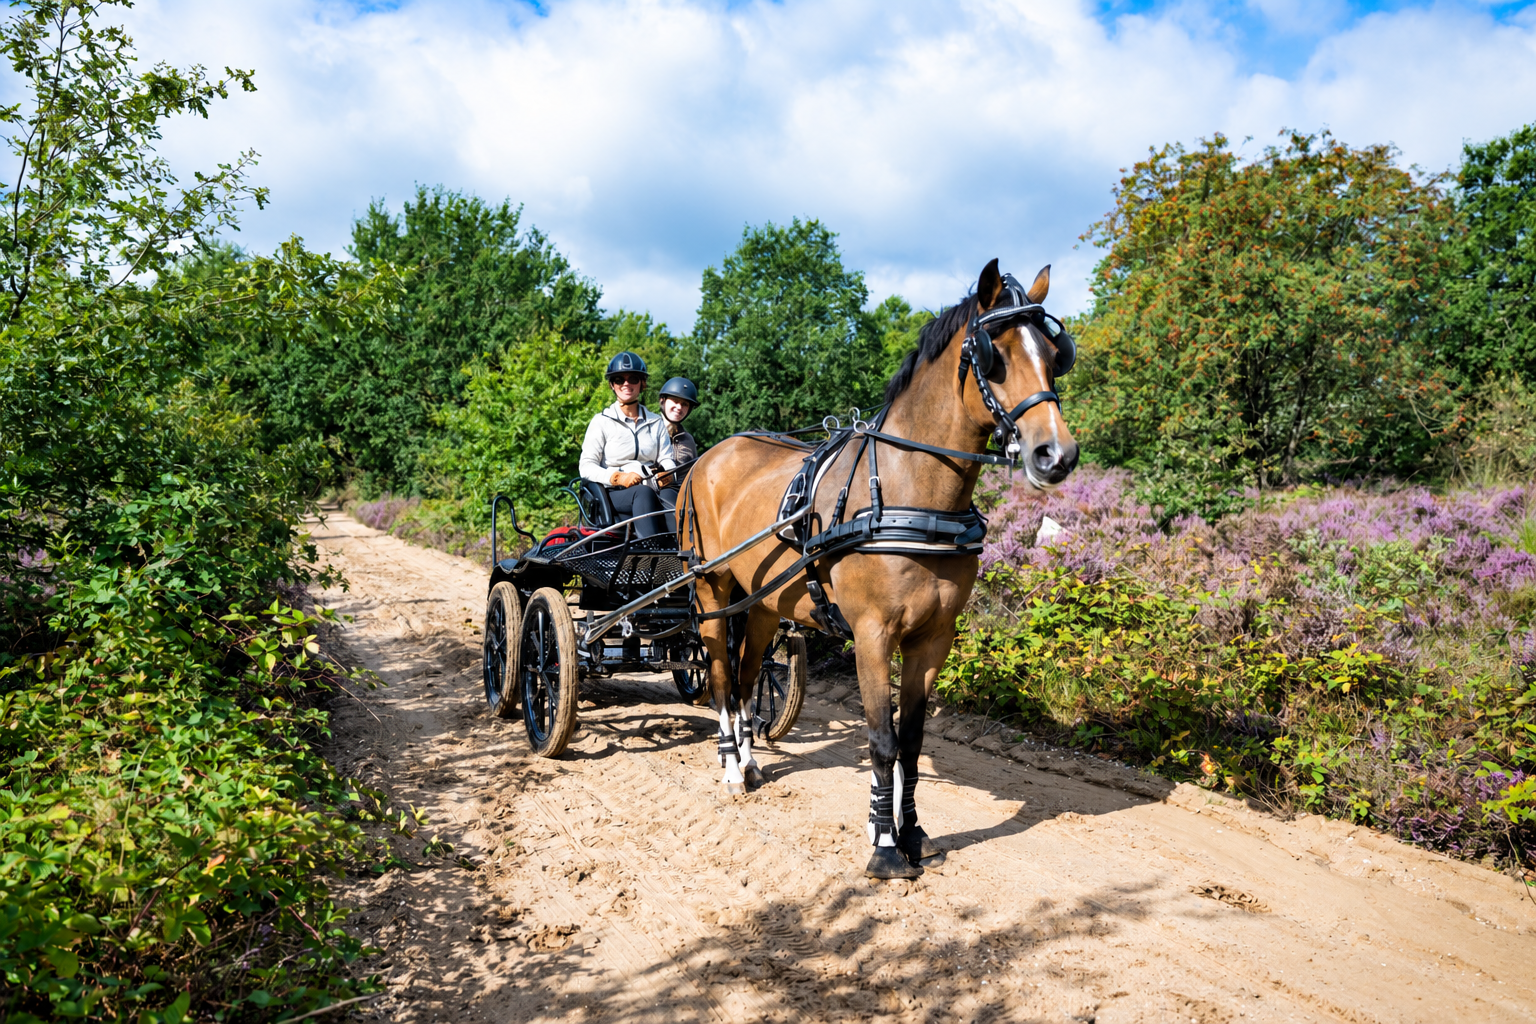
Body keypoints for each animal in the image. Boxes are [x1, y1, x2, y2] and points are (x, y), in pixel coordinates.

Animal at [679, 259, 1080, 879]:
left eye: (1055, 353)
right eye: (996, 353)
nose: (1055, 454)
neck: (909, 494)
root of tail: (708, 457)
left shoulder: (933, 638)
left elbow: (911, 743)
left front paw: (910, 831)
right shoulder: (872, 635)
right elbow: (881, 739)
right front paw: (885, 846)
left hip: (764, 602)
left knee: (747, 680)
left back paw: (748, 761)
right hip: (709, 587)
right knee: (721, 677)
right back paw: (728, 766)